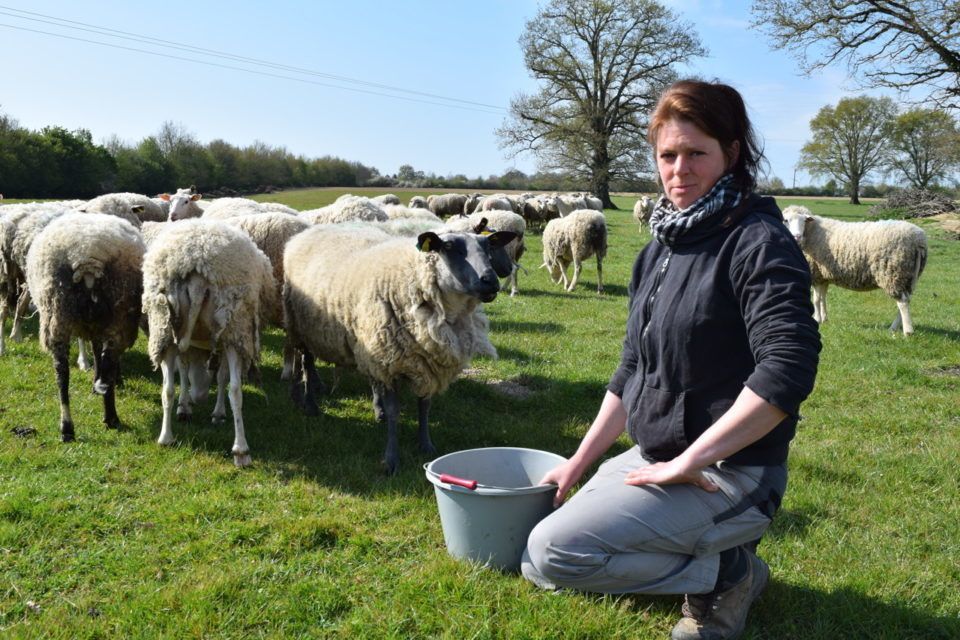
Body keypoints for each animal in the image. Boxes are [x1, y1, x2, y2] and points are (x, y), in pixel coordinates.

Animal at [25, 213, 144, 441]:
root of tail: (87, 255)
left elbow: (96, 352)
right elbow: (99, 356)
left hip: (57, 312)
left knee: (62, 374)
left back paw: (67, 428)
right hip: (118, 316)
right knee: (108, 363)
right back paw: (111, 417)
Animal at [142, 219, 277, 466]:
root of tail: (196, 259)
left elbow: (184, 375)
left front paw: (186, 407)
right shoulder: (221, 343)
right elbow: (221, 378)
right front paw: (214, 412)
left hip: (163, 329)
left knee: (167, 388)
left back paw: (166, 437)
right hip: (234, 327)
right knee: (235, 390)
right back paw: (241, 450)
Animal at [283, 224, 517, 474]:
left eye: (488, 245)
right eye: (448, 246)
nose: (490, 281)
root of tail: (308, 231)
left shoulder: (426, 362)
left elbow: (425, 405)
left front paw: (426, 445)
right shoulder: (390, 362)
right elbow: (395, 410)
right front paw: (391, 459)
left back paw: (376, 410)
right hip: (302, 328)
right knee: (307, 363)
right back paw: (310, 405)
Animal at [782, 205, 928, 335]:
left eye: (804, 220)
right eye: (786, 220)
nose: (797, 236)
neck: (812, 232)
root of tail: (918, 239)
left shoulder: (816, 274)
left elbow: (816, 299)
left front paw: (817, 319)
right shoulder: (823, 276)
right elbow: (823, 298)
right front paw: (824, 319)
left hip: (892, 272)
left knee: (902, 302)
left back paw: (907, 331)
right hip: (909, 275)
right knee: (906, 300)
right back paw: (894, 328)